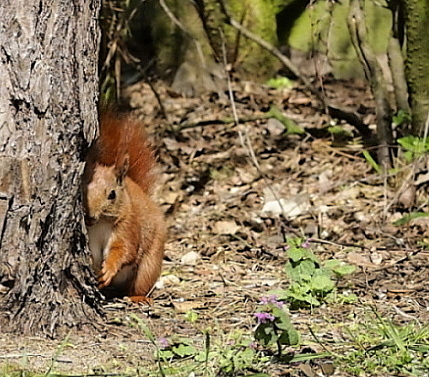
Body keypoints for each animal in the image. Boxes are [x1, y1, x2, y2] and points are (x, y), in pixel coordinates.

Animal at [82, 110, 166, 302]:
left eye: (112, 195)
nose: (90, 216)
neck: (100, 224)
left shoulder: (128, 226)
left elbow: (124, 251)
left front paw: (108, 269)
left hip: (149, 265)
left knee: (141, 283)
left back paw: (138, 298)